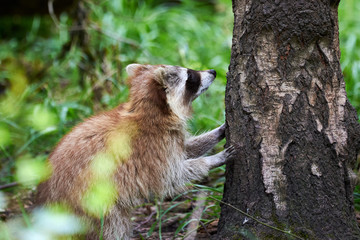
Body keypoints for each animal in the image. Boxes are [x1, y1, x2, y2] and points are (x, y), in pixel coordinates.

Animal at [35, 62, 235, 239]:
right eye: (191, 76)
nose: (213, 71)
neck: (151, 108)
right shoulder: (150, 148)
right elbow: (171, 175)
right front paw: (214, 159)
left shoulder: (168, 139)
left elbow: (186, 149)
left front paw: (218, 132)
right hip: (89, 203)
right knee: (113, 226)